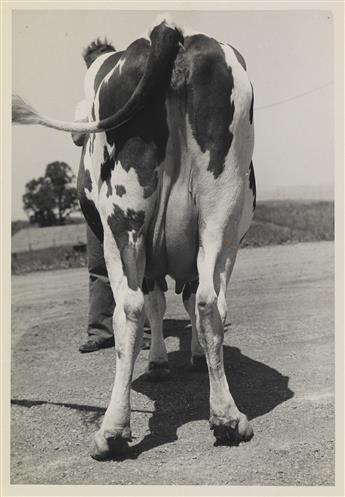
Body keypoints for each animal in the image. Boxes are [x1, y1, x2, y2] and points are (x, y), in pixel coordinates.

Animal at [12, 20, 255, 462]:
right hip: (222, 209)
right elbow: (179, 301)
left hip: (120, 225)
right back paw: (227, 418)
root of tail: (170, 30)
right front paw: (188, 358)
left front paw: (162, 360)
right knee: (208, 300)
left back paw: (112, 429)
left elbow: (157, 304)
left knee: (129, 307)